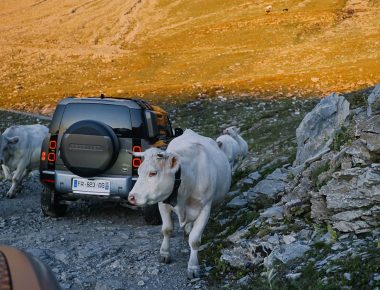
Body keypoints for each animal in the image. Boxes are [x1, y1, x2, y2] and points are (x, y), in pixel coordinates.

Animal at [127, 129, 230, 278]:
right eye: (139, 171)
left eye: (153, 173)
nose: (131, 197)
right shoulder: (162, 203)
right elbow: (167, 229)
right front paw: (164, 254)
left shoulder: (205, 208)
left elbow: (195, 240)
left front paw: (193, 267)